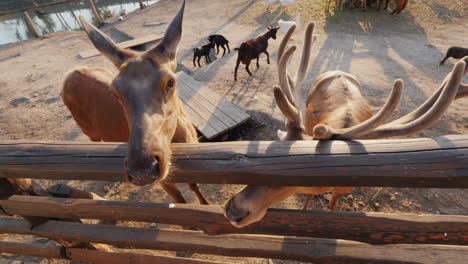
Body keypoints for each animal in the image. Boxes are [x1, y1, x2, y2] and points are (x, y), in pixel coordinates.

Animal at [61, 0, 208, 204]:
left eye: (170, 82)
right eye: (115, 90)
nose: (142, 170)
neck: (185, 138)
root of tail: (68, 76)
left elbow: (196, 188)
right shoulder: (164, 181)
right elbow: (179, 200)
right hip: (89, 132)